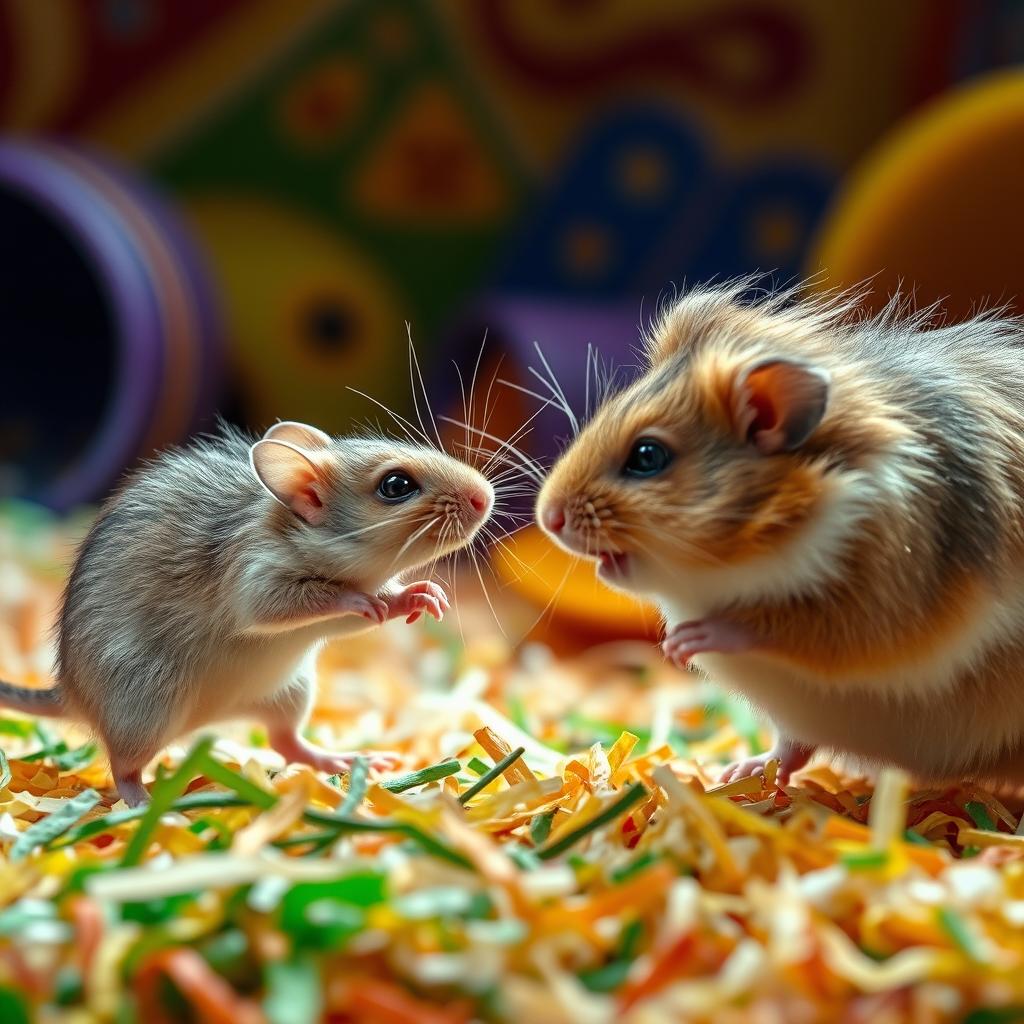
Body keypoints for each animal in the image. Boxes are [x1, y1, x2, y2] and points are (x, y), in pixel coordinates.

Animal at [0, 421, 493, 805]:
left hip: (291, 690)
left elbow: (371, 608)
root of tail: (70, 695)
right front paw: (358, 598)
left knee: (285, 741)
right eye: (396, 486)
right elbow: (305, 604)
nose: (485, 497)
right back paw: (143, 803)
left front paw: (423, 596)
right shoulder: (257, 579)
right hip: (149, 703)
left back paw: (340, 759)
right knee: (123, 766)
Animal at [536, 280, 1024, 788]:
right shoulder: (797, 710)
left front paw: (685, 644)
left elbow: (788, 626)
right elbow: (791, 746)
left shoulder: (887, 603)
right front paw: (736, 772)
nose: (548, 517)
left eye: (647, 457)